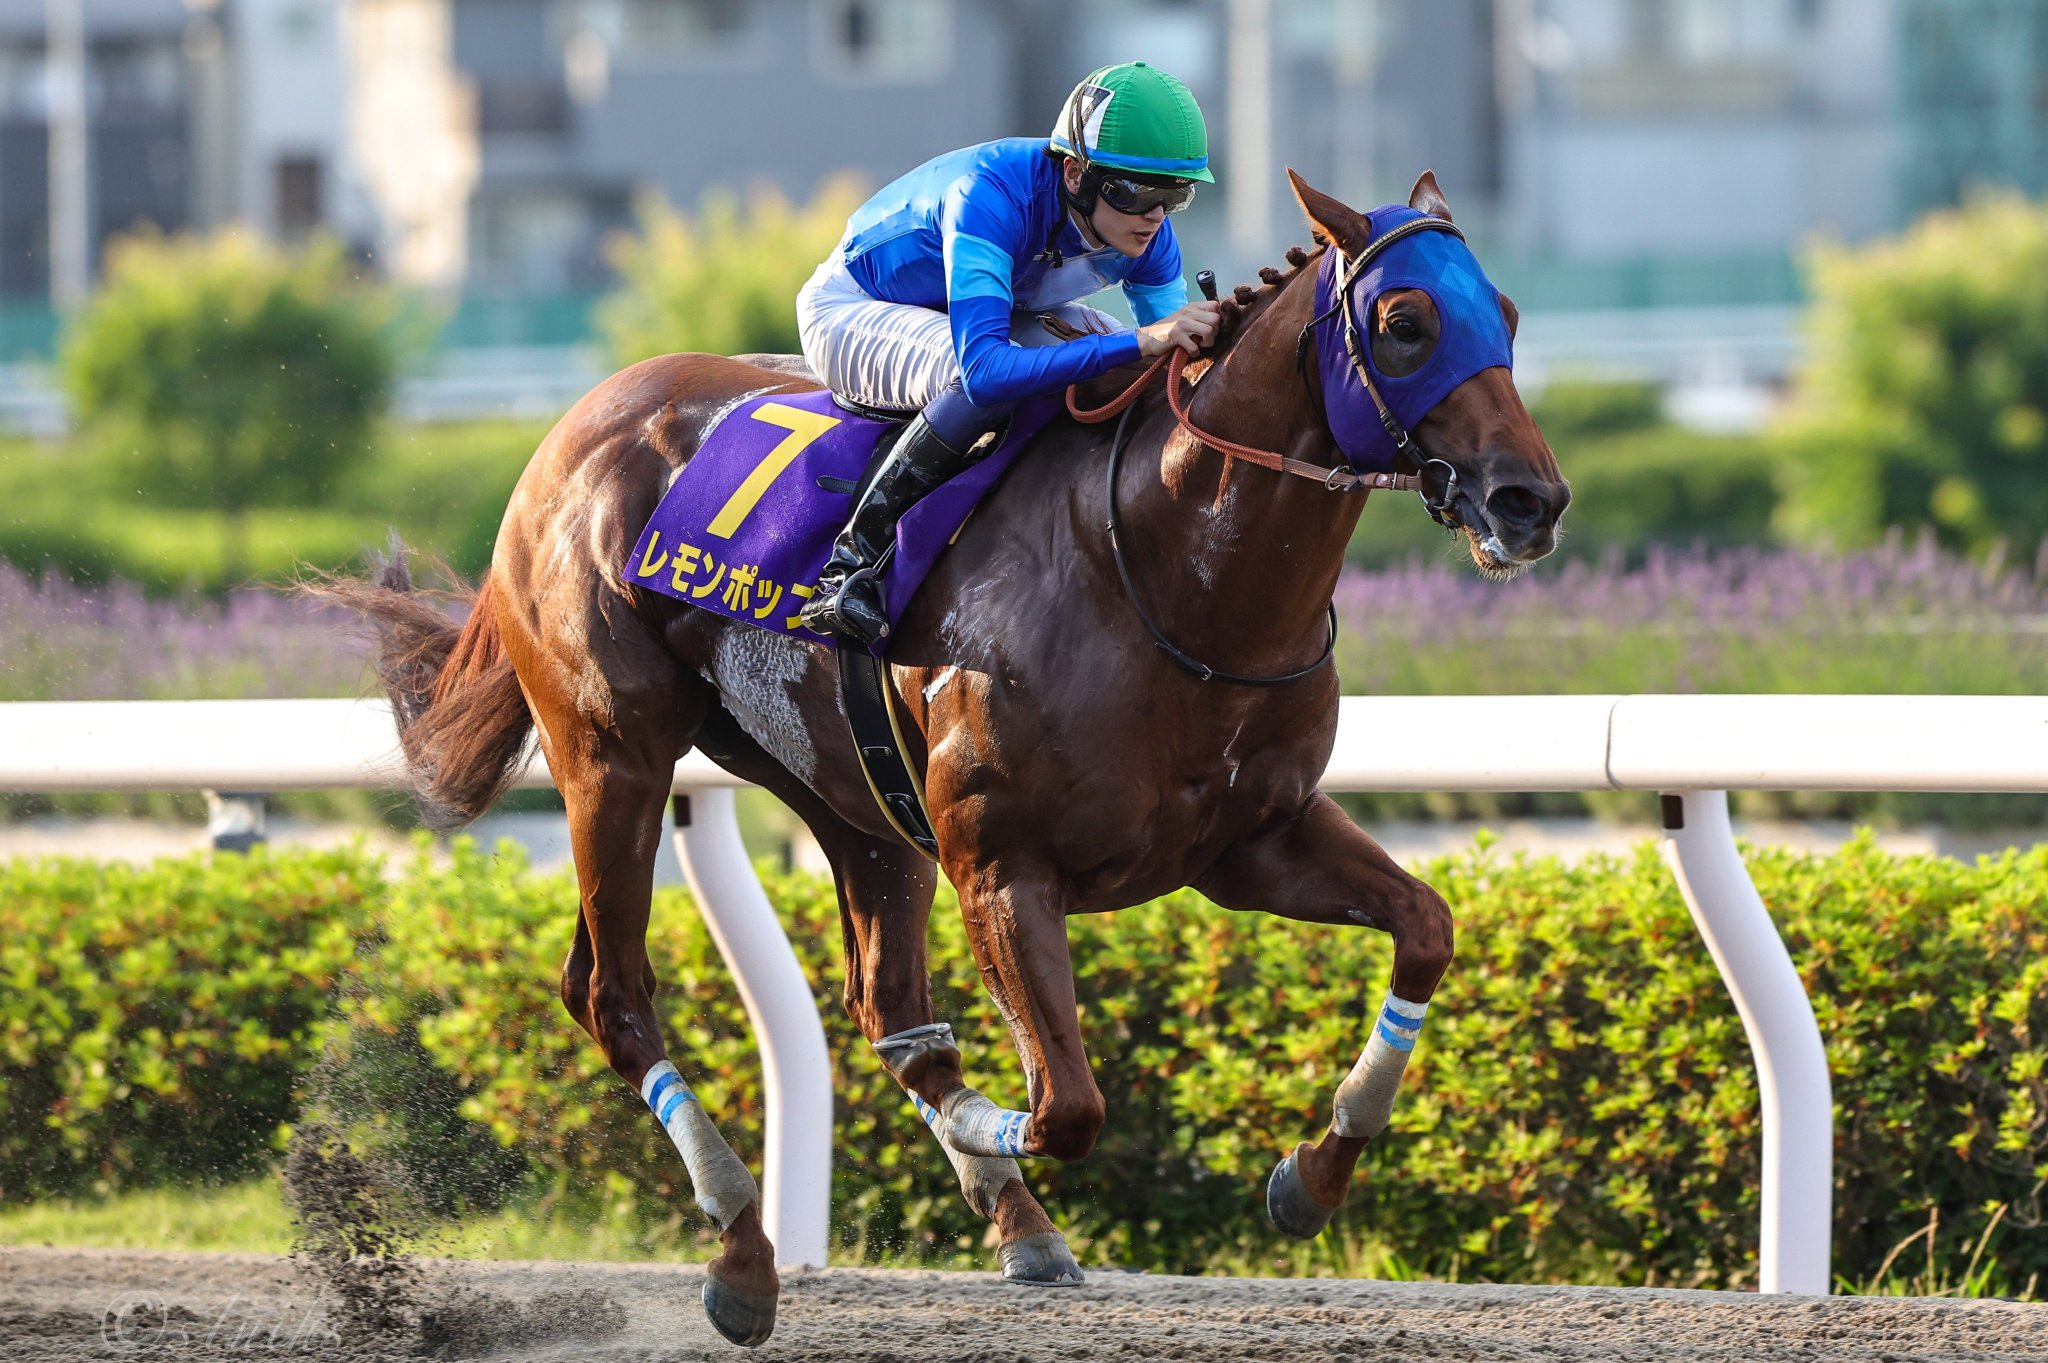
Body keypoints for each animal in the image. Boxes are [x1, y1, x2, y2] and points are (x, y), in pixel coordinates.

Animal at [323, 166, 1564, 1334]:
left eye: (1504, 311)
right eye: (1403, 320)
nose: (1529, 499)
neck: (1168, 573)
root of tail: (569, 426)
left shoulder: (1252, 841)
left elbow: (1425, 930)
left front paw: (1309, 1174)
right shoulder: (1001, 866)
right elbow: (1064, 1104)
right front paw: (996, 1124)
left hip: (848, 795)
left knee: (882, 1005)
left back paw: (1016, 1226)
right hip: (612, 757)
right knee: (614, 993)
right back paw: (743, 1253)